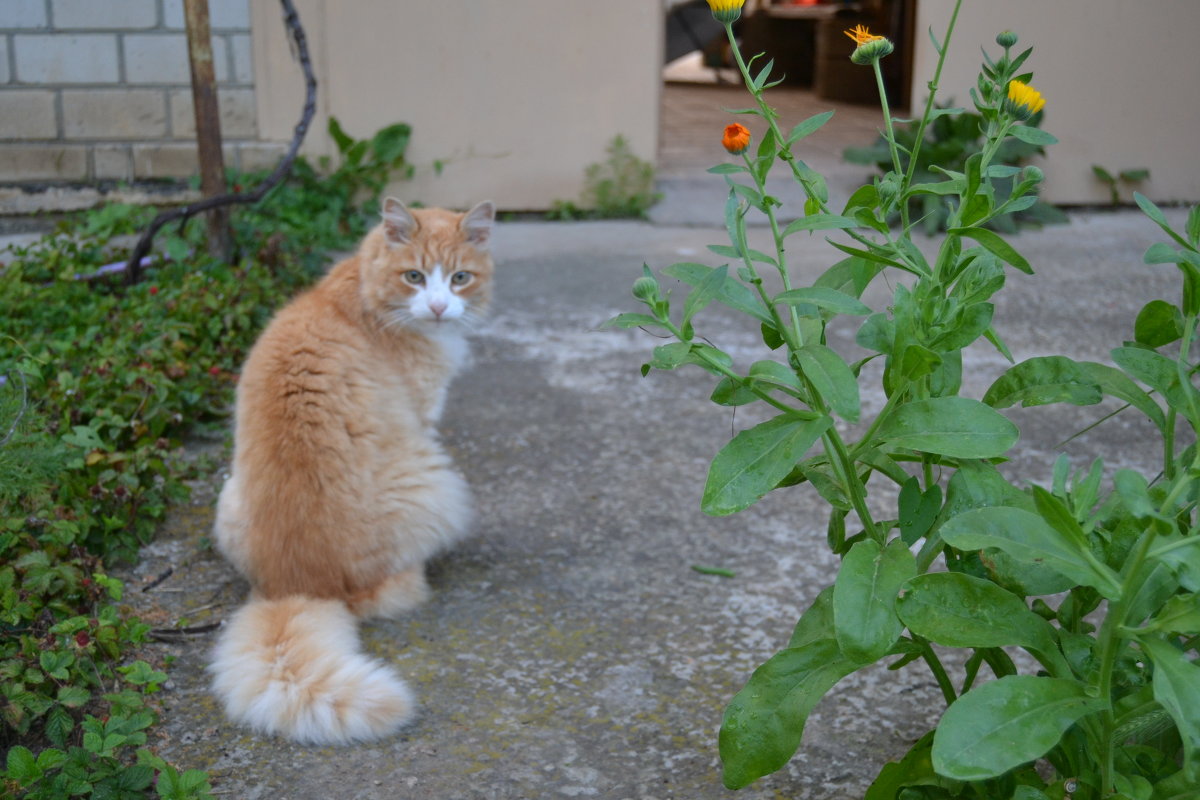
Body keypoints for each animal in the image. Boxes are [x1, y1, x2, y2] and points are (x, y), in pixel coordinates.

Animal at [211, 199, 496, 743]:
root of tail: (296, 587)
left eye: (460, 278)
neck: (361, 294)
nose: (438, 308)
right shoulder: (425, 417)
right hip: (437, 482)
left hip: (227, 496)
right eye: (414, 277)